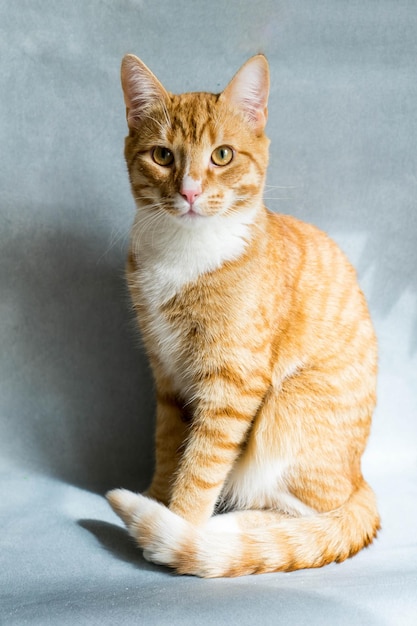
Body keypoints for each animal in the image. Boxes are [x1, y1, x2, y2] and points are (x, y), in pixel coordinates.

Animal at [105, 53, 378, 576]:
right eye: (163, 156)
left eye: (223, 156)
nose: (190, 191)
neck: (184, 254)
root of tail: (360, 478)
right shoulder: (166, 375)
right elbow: (169, 446)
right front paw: (156, 497)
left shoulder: (233, 382)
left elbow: (203, 463)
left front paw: (180, 523)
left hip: (286, 412)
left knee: (302, 516)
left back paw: (220, 531)